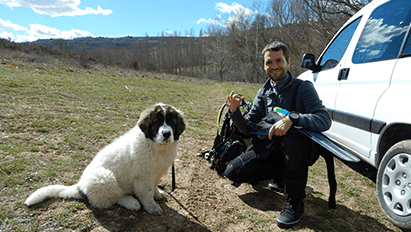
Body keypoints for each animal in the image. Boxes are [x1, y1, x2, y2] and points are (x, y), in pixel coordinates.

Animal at [25, 102, 186, 215]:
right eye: (157, 122)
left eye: (171, 122)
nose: (166, 134)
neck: (155, 145)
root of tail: (79, 186)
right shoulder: (143, 176)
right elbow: (146, 193)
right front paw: (152, 207)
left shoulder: (156, 173)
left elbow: (154, 186)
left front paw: (158, 194)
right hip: (105, 177)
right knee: (114, 198)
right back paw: (130, 202)